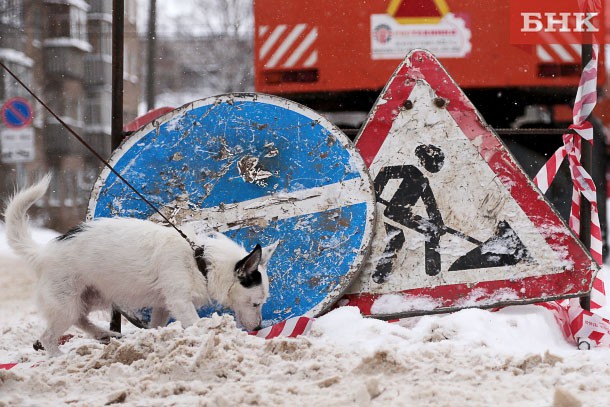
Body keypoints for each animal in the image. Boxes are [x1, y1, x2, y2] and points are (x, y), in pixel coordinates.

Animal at [2, 175, 276, 356]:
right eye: (256, 304)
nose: (258, 327)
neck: (201, 262)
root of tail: (42, 253)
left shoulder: (163, 306)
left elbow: (156, 326)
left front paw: (155, 340)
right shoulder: (180, 302)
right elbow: (196, 323)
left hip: (90, 297)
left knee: (80, 319)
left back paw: (104, 334)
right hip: (66, 303)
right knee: (49, 336)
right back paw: (58, 357)